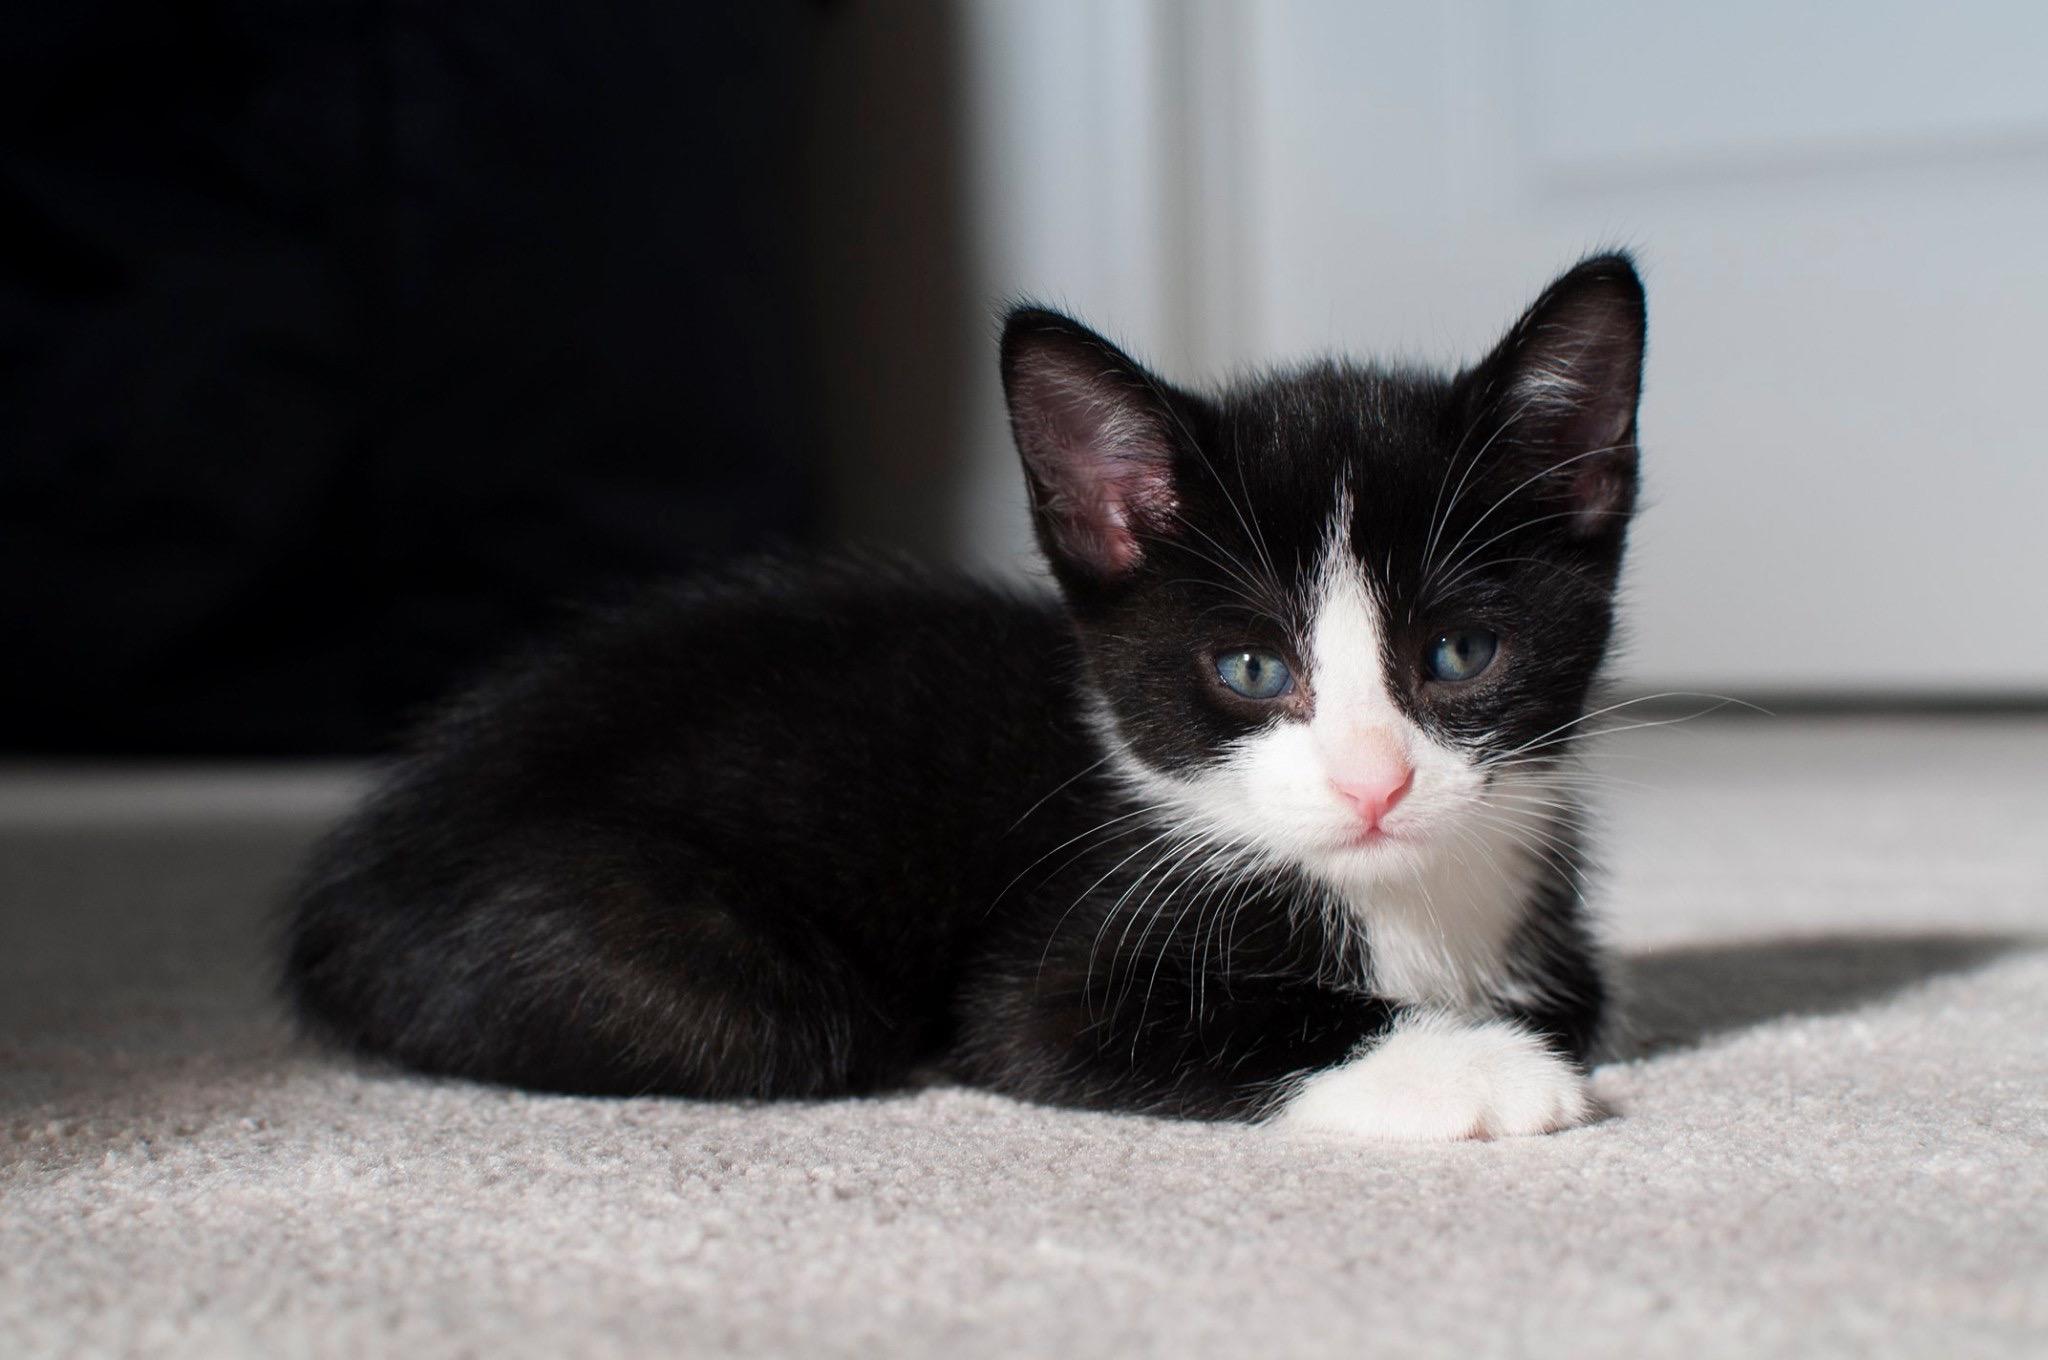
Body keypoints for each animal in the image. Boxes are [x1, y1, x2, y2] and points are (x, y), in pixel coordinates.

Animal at [284, 253, 1646, 1141]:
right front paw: (1488, 1073)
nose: (1375, 783)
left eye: (1458, 654)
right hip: (728, 984)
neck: (1396, 899)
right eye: (1251, 670)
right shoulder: (1048, 975)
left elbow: (1579, 994)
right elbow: (1141, 1023)